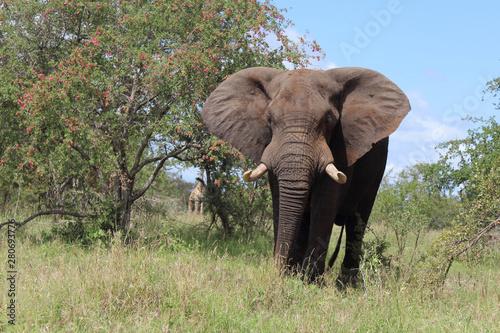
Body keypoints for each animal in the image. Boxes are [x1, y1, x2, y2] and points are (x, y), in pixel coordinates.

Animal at [199, 67, 410, 282]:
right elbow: (280, 198)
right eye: (269, 120)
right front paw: (292, 274)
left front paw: (310, 281)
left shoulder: (343, 143)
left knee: (357, 222)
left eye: (329, 120)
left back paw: (346, 284)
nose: (277, 269)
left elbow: (325, 200)